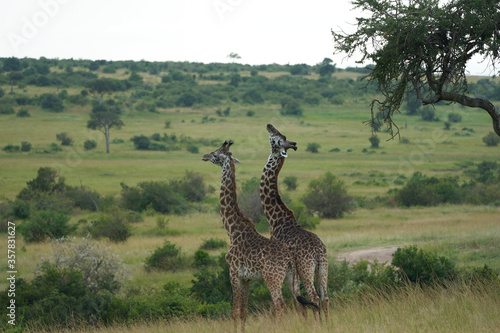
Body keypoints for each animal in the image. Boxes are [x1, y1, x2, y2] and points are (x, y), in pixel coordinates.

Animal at [200, 139, 314, 330]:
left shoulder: (234, 274)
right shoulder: (246, 279)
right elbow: (244, 312)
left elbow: (235, 311)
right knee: (300, 303)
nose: (204, 156)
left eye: (215, 154)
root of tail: (289, 258)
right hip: (291, 277)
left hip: (272, 277)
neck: (233, 230)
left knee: (280, 304)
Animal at [260, 123, 330, 320]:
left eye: (277, 137)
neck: (275, 218)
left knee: (313, 295)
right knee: (325, 296)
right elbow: (298, 301)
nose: (268, 125)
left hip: (307, 268)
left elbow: (294, 300)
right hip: (323, 267)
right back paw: (328, 323)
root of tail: (318, 250)